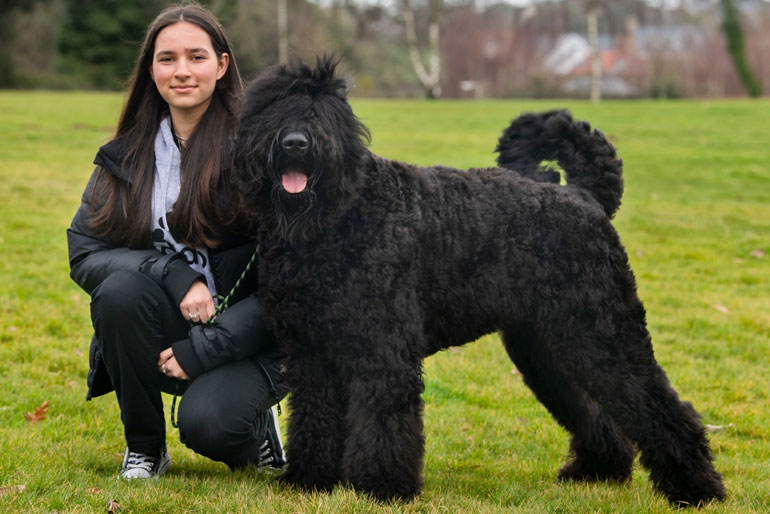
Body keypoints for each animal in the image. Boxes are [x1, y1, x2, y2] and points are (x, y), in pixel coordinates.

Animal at [232, 57, 720, 504]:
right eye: (272, 107)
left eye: (325, 111)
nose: (296, 142)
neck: (337, 218)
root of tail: (585, 196)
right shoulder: (311, 355)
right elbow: (314, 418)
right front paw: (309, 479)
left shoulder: (383, 350)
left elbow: (383, 421)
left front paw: (383, 488)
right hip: (549, 349)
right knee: (593, 407)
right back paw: (598, 470)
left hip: (605, 335)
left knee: (660, 405)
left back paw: (696, 488)